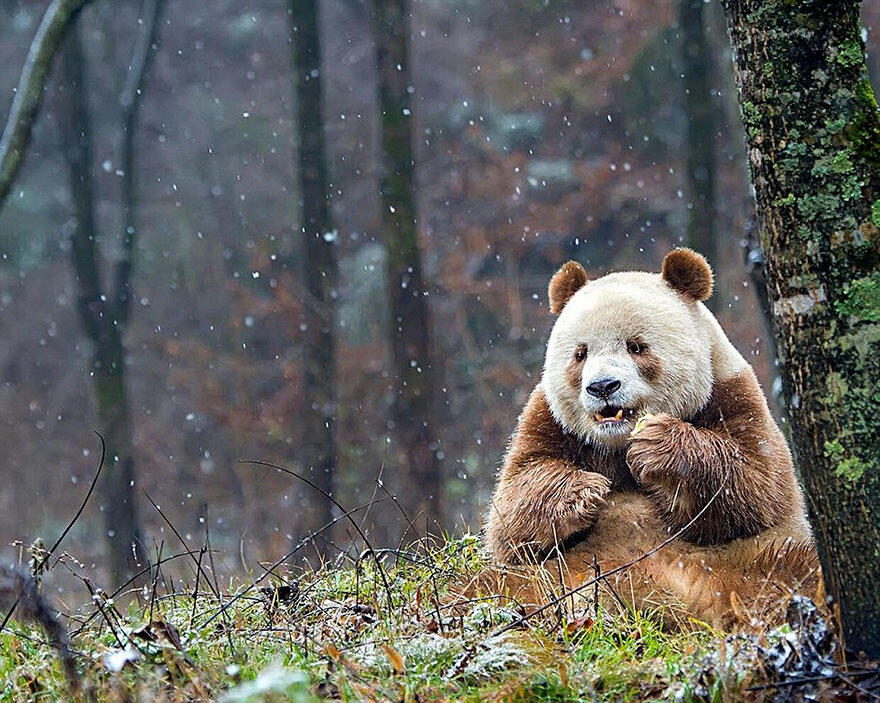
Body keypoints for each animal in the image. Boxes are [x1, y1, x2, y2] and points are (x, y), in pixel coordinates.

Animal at [482, 249, 820, 628]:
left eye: (636, 347)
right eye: (580, 353)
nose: (602, 386)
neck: (616, 443)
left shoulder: (732, 394)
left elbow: (754, 486)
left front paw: (658, 447)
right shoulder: (549, 419)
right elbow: (513, 510)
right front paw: (584, 491)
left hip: (746, 562)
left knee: (795, 571)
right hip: (549, 575)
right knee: (486, 585)